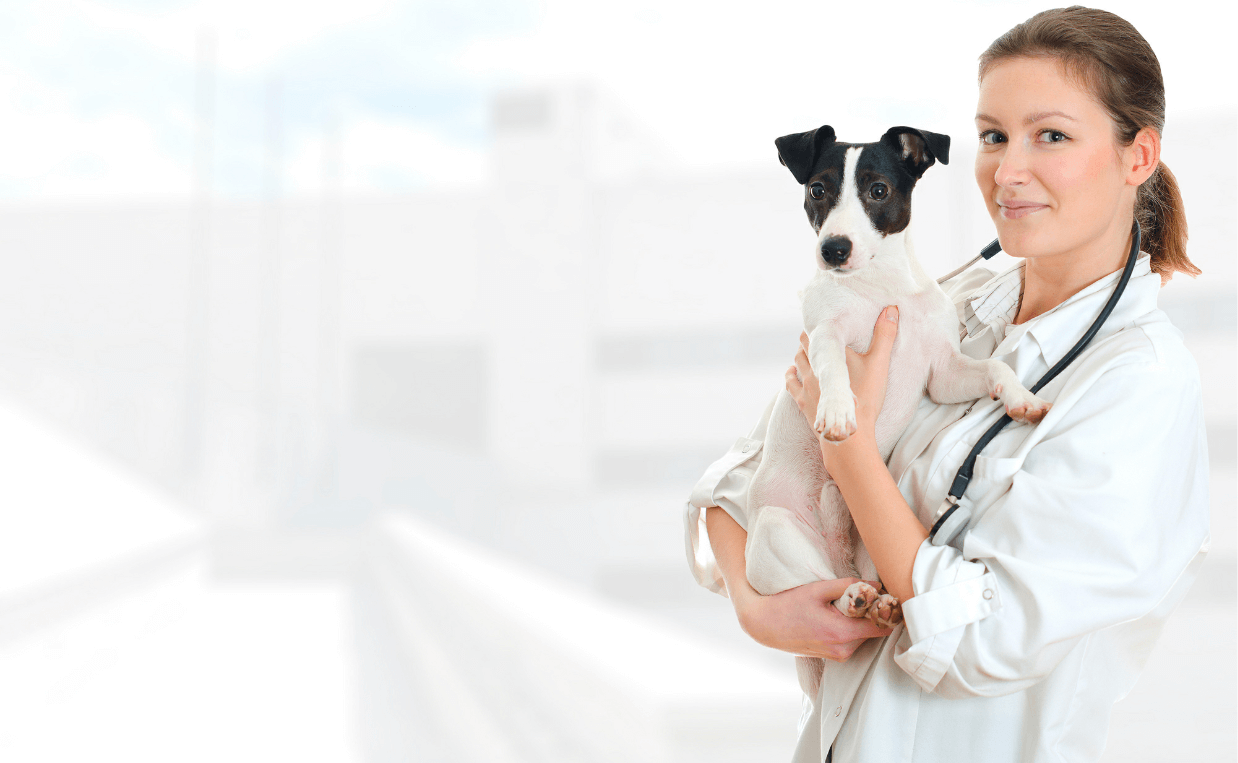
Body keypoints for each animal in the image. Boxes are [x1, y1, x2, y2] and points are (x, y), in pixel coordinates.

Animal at [737, 123, 1049, 698]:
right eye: (817, 189)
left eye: (878, 190)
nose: (834, 250)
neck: (879, 289)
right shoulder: (825, 335)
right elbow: (833, 363)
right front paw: (839, 411)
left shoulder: (944, 373)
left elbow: (995, 367)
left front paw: (1021, 397)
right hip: (776, 532)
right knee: (824, 593)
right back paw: (854, 599)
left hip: (869, 553)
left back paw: (878, 603)